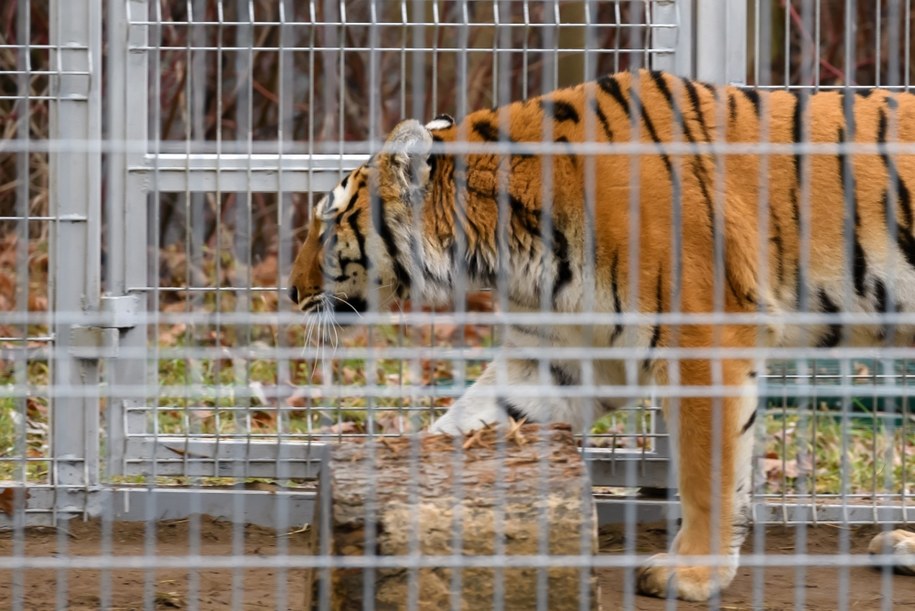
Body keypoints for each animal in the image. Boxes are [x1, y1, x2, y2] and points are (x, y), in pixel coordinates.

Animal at [290, 69, 915, 600]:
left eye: (327, 225)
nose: (291, 295)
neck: (511, 244)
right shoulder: (562, 353)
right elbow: (472, 418)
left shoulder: (701, 341)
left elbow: (706, 472)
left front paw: (692, 574)